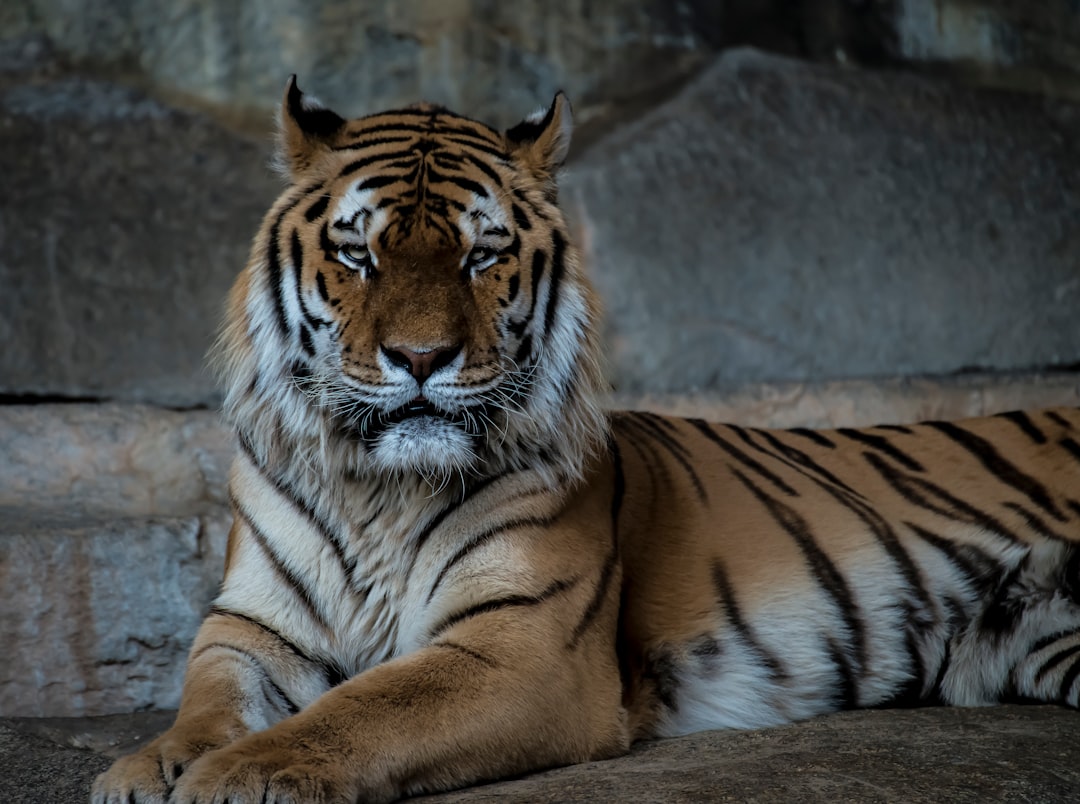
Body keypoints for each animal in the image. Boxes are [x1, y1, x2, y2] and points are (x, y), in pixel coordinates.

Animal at [95, 76, 1080, 804]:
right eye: (358, 255)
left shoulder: (520, 646)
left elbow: (362, 710)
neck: (380, 488)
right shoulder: (253, 626)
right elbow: (205, 700)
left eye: (482, 257)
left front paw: (241, 775)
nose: (421, 358)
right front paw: (149, 767)